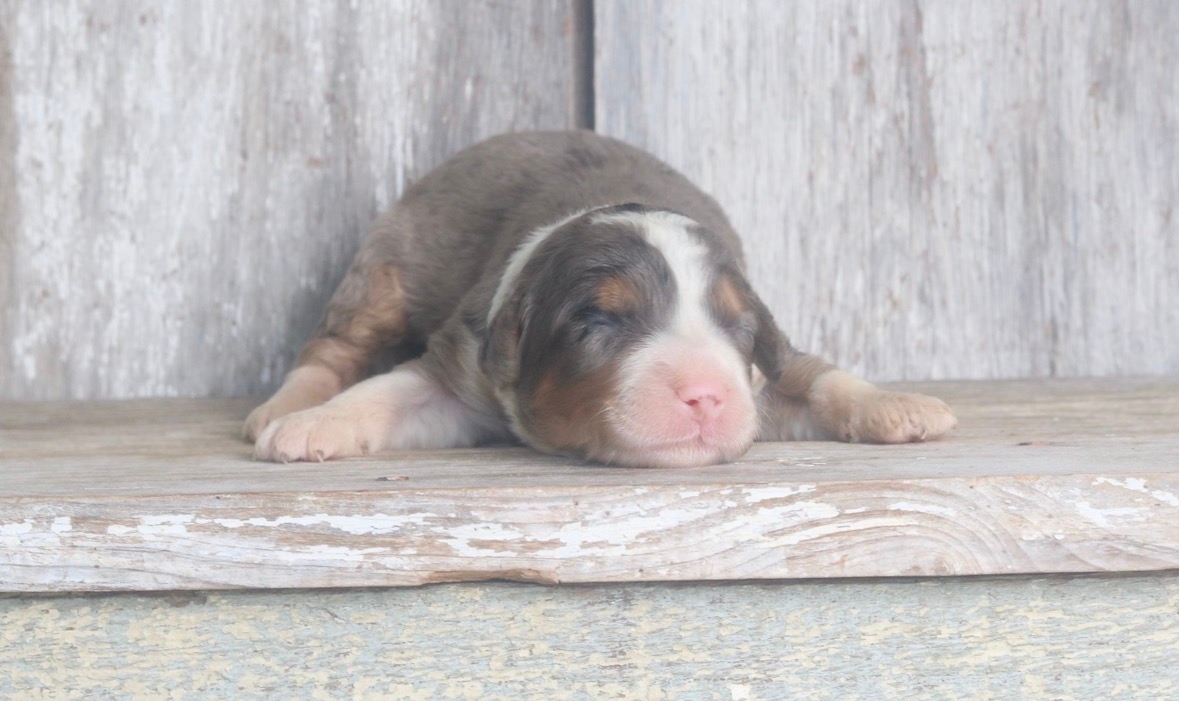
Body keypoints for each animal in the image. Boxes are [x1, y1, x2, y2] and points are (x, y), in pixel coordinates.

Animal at [247, 131, 956, 467]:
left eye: (739, 327)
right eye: (599, 319)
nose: (707, 395)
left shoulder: (760, 376)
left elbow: (819, 378)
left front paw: (901, 407)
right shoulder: (463, 363)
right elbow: (389, 391)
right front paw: (313, 426)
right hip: (387, 264)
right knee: (333, 346)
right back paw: (285, 407)